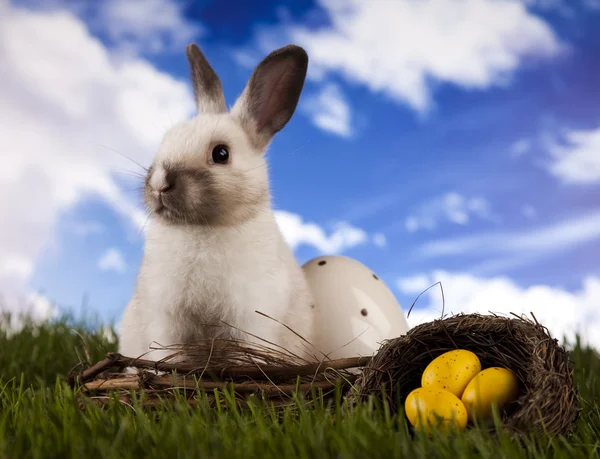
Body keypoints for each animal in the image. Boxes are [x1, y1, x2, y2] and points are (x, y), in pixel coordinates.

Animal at [118, 43, 322, 366]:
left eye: (221, 154)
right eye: (164, 142)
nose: (160, 183)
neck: (201, 228)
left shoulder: (250, 323)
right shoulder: (165, 321)